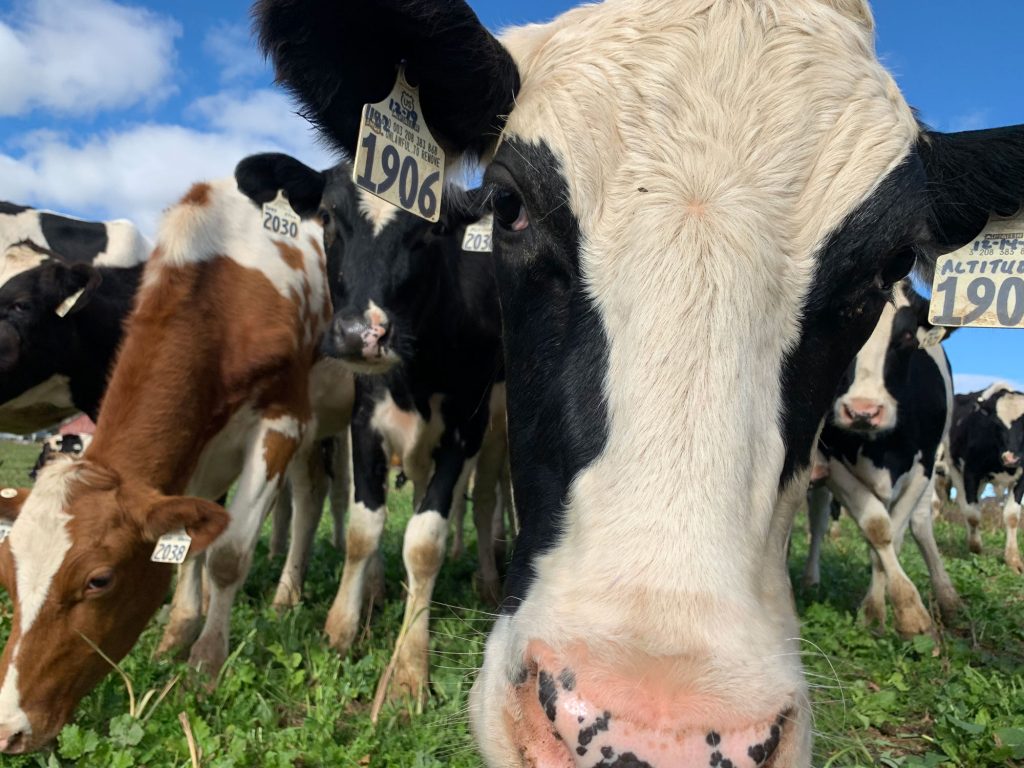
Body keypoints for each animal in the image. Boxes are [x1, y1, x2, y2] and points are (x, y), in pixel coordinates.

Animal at [235, 151, 508, 697]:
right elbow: (365, 528)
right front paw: (342, 626)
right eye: (328, 217)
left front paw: (410, 665)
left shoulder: (464, 429)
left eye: (432, 231)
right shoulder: (364, 422)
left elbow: (425, 540)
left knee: (486, 501)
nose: (361, 333)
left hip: (496, 426)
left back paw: (488, 581)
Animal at [802, 281, 958, 633]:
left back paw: (947, 596)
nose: (863, 411)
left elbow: (894, 537)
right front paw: (893, 608)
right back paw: (809, 581)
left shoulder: (924, 465)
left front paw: (891, 609)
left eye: (908, 338)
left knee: (921, 525)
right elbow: (876, 528)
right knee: (818, 520)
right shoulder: (832, 462)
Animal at [943, 383, 1024, 573]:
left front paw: (1013, 560)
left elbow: (1012, 516)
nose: (1011, 458)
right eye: (996, 424)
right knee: (965, 504)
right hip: (954, 468)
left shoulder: (1022, 477)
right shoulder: (971, 472)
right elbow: (973, 514)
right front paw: (976, 547)